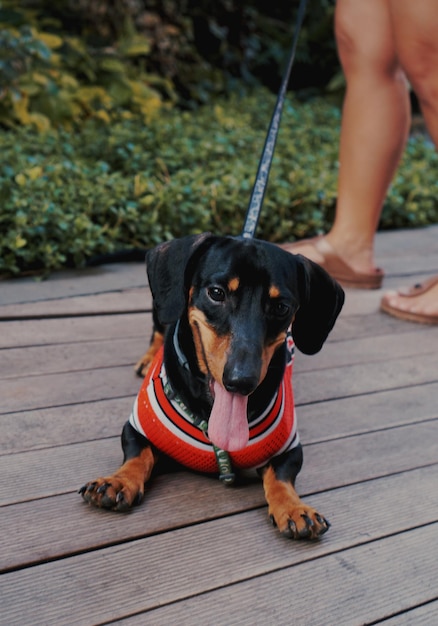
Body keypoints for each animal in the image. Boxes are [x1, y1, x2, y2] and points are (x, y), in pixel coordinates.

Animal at [80, 234, 344, 536]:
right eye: (217, 293)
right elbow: (137, 455)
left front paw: (293, 507)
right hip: (158, 308)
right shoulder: (136, 427)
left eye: (281, 307)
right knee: (158, 329)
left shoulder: (289, 447)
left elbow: (281, 476)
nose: (242, 381)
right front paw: (119, 480)